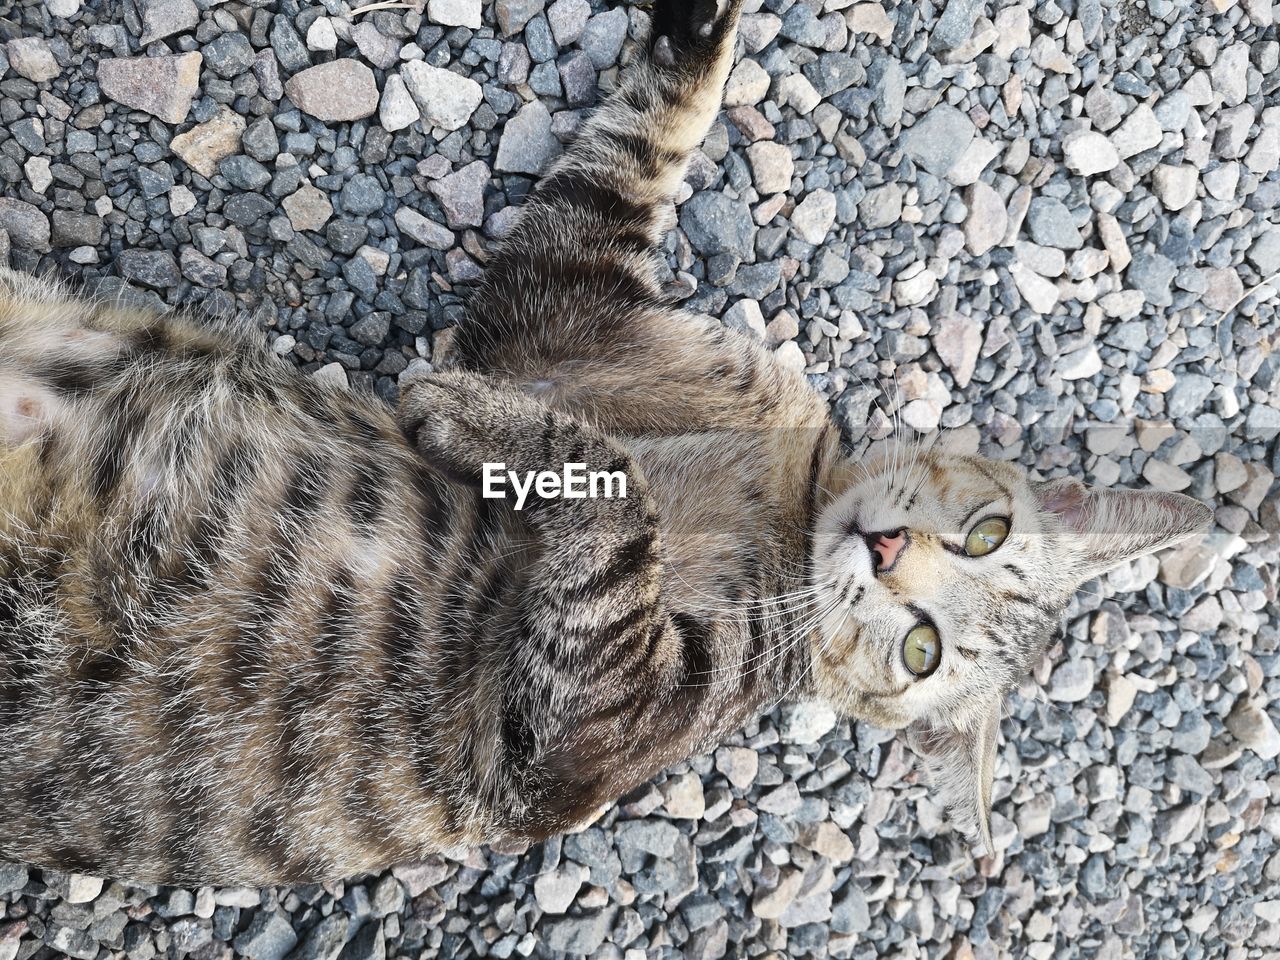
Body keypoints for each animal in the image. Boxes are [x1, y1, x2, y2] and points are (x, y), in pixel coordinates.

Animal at [0, 0, 1208, 885]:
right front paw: (697, 36)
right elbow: (636, 146)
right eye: (987, 530)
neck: (790, 488)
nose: (885, 552)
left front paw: (471, 420)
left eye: (922, 655)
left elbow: (613, 495)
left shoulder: (577, 734)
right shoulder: (563, 302)